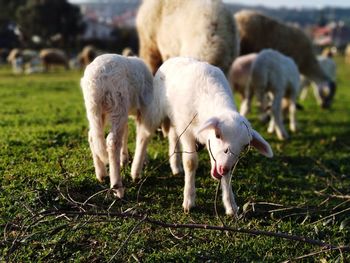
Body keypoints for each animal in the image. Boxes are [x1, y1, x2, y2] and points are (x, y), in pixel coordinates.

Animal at [80, 54, 162, 198]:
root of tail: (97, 78)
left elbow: (126, 131)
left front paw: (125, 159)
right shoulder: (145, 109)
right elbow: (143, 136)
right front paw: (136, 171)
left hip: (95, 109)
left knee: (93, 136)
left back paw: (101, 173)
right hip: (118, 101)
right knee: (113, 141)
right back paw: (117, 188)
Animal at [154, 57, 274, 217]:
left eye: (245, 146)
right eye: (218, 135)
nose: (223, 168)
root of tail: (176, 58)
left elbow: (227, 177)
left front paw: (231, 206)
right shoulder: (187, 130)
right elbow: (190, 162)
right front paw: (189, 201)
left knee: (173, 136)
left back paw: (176, 166)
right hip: (162, 112)